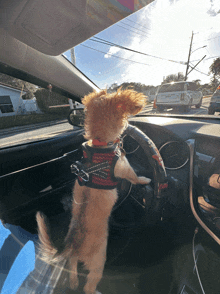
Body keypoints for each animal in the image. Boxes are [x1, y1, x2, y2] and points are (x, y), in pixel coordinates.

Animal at [36, 88, 150, 294]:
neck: (100, 143)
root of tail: (73, 244)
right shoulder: (126, 168)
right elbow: (135, 177)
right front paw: (145, 179)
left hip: (75, 258)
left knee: (72, 264)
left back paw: (73, 282)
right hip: (98, 262)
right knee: (89, 285)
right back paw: (93, 290)